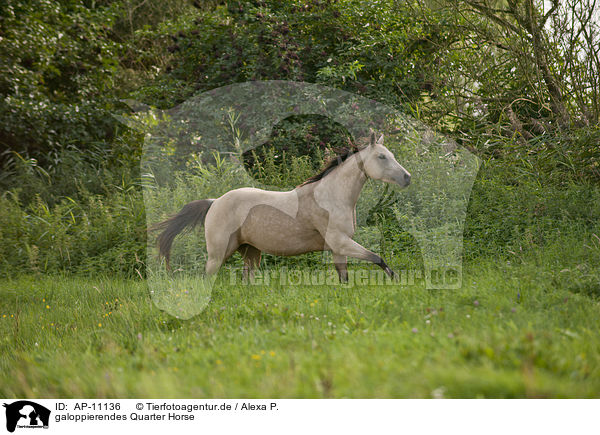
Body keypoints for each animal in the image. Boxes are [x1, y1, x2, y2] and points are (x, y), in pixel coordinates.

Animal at [151, 131, 412, 282]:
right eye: (381, 157)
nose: (407, 178)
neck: (331, 197)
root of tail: (214, 202)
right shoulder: (341, 242)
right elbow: (377, 257)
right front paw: (396, 279)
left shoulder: (338, 248)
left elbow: (344, 278)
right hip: (218, 254)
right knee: (208, 278)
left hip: (250, 252)